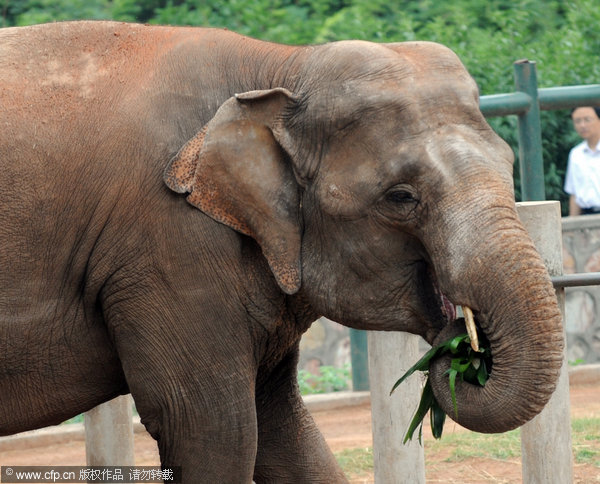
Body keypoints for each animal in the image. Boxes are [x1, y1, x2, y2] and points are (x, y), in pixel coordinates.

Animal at [0, 20, 564, 482]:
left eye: (509, 162)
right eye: (401, 198)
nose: (461, 352)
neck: (283, 66)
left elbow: (282, 428)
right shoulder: (170, 247)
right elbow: (209, 426)